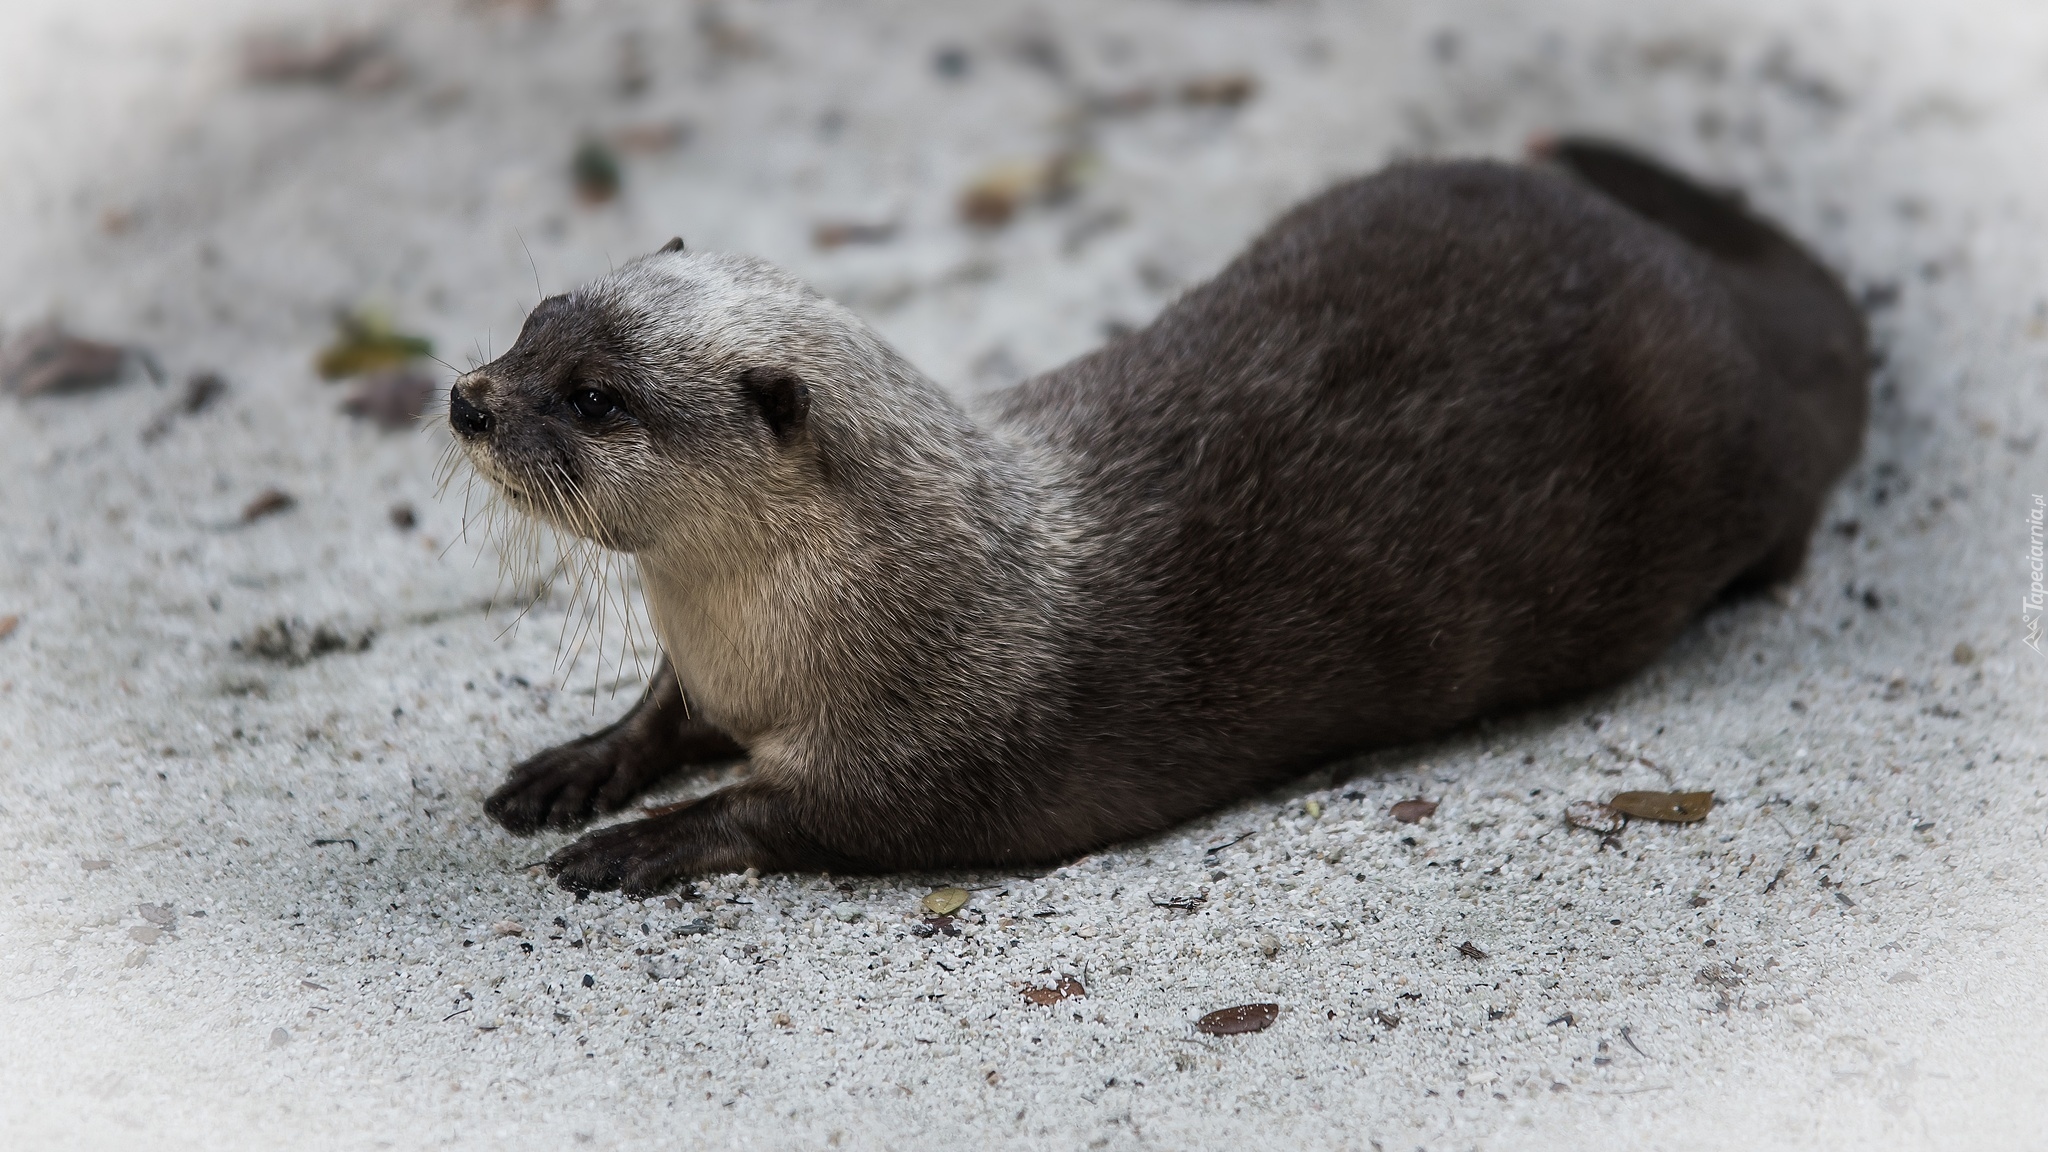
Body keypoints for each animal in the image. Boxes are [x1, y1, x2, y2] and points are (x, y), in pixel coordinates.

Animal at [448, 139, 1875, 893]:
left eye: (593, 397)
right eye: (531, 321)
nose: (466, 398)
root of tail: (1711, 297)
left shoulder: (944, 748)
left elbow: (799, 815)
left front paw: (644, 839)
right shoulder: (712, 668)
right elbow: (661, 711)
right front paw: (576, 769)